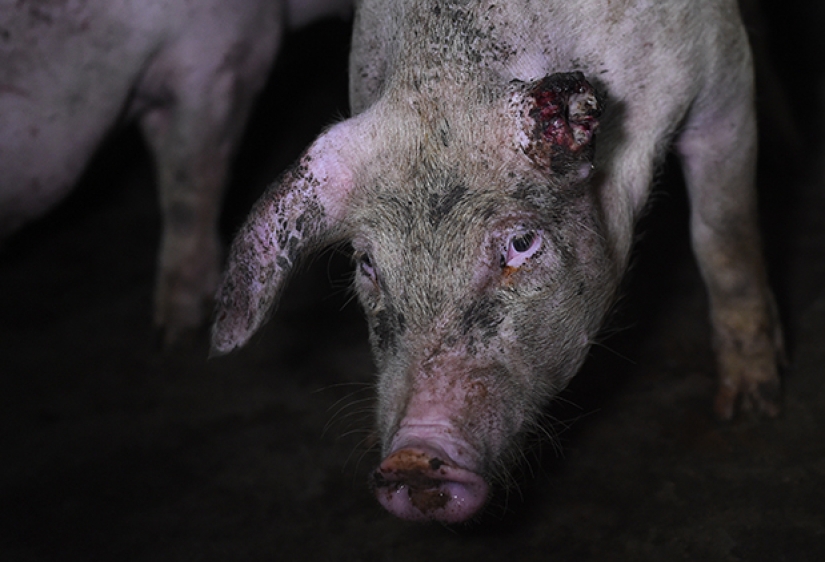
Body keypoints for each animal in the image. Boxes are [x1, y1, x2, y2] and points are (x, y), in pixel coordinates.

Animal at [209, 0, 784, 524]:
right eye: (368, 263)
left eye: (522, 243)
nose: (413, 459)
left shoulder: (720, 73)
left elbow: (723, 235)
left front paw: (750, 408)